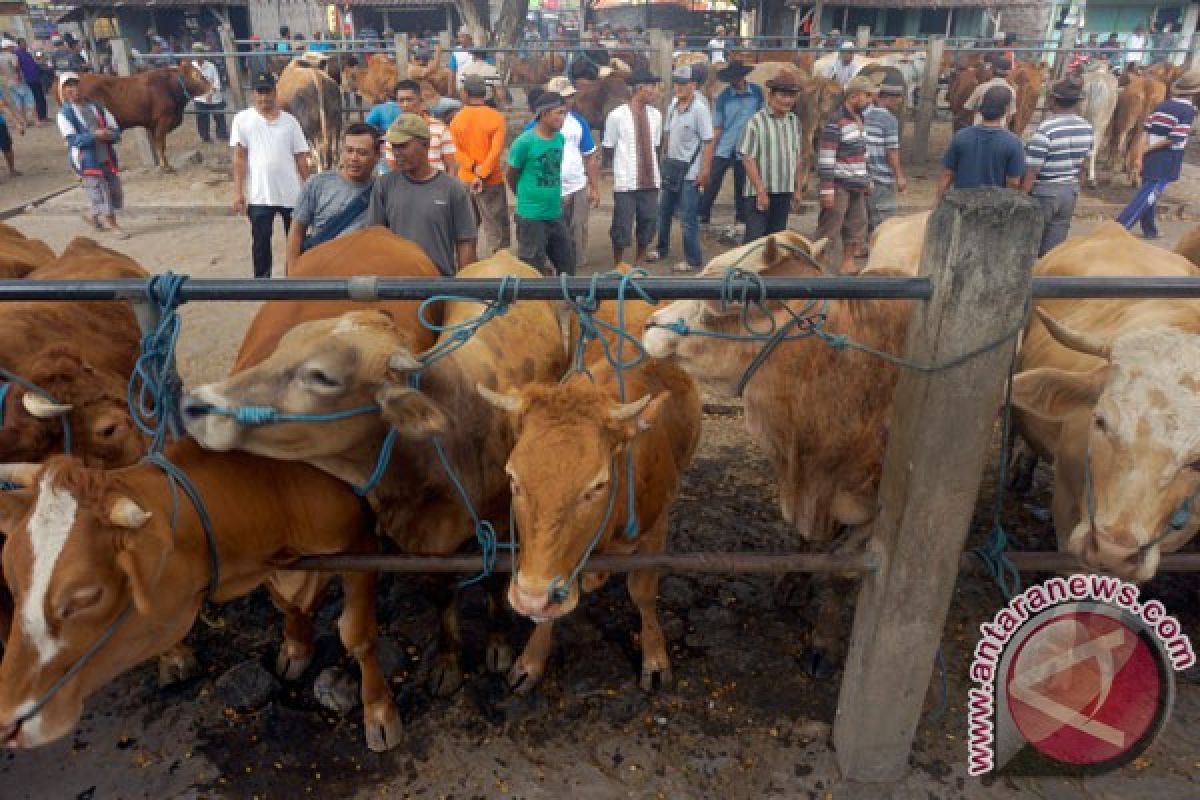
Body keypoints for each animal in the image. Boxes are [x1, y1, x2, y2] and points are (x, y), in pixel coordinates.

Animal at [0, 441, 403, 753]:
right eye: (10, 575)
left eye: (85, 597)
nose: (7, 722)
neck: (273, 485)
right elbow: (287, 604)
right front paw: (296, 647)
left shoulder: (360, 543)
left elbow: (357, 635)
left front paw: (379, 712)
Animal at [62, 63, 211, 172]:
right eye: (196, 75)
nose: (212, 87)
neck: (168, 85)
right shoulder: (163, 120)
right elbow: (161, 144)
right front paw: (166, 167)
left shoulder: (152, 124)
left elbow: (158, 144)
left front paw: (162, 165)